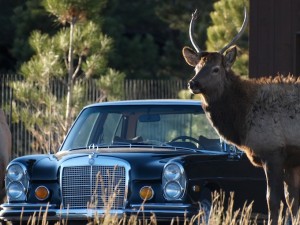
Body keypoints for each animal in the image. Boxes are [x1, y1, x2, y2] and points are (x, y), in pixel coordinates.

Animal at [183, 7, 300, 225]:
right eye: (196, 67)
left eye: (216, 69)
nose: (193, 83)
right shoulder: (291, 160)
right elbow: (292, 201)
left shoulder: (273, 151)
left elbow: (272, 200)